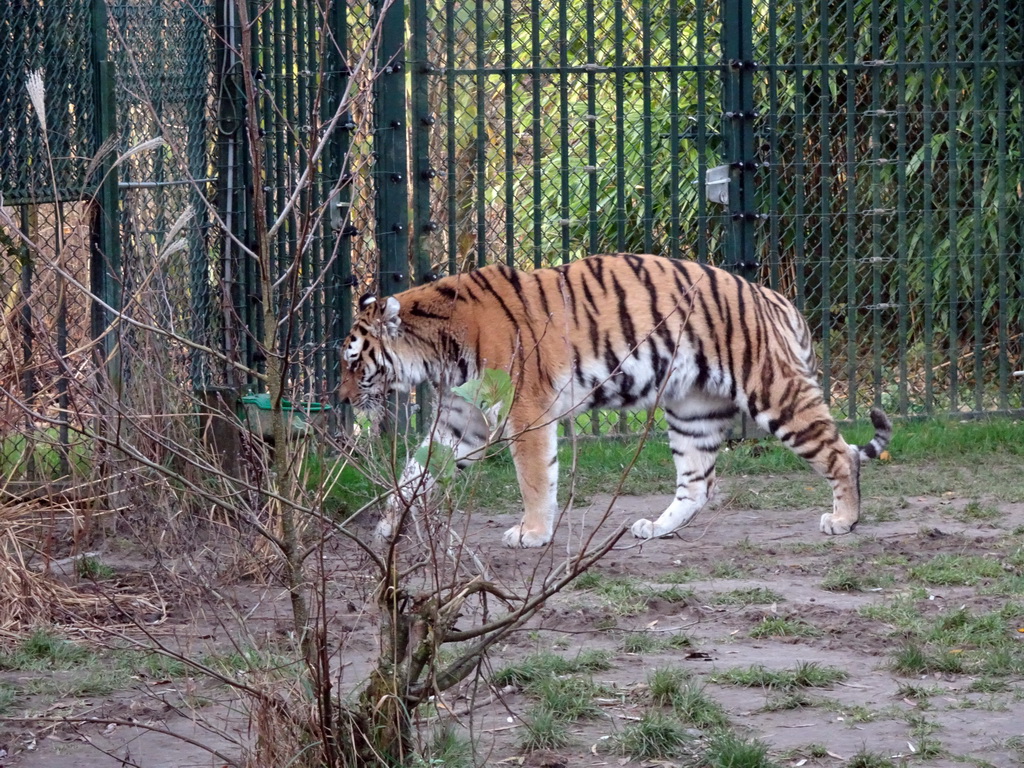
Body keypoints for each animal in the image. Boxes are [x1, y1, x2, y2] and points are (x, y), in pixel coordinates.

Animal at [339, 252, 892, 548]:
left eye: (353, 362)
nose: (340, 399)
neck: (439, 351)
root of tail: (774, 298)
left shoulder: (526, 410)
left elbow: (534, 478)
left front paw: (533, 533)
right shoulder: (462, 418)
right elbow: (416, 471)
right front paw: (387, 526)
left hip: (773, 390)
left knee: (839, 453)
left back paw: (844, 520)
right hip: (693, 410)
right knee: (697, 484)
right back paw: (656, 528)